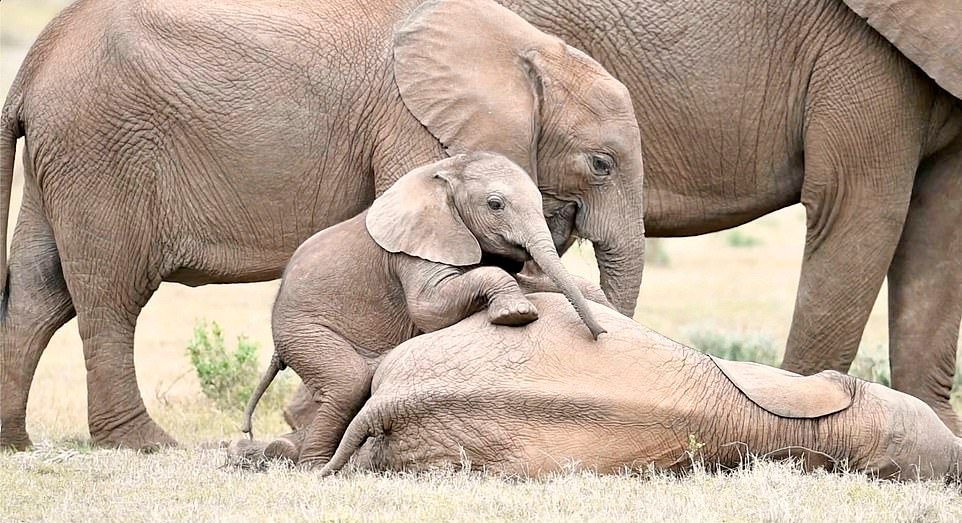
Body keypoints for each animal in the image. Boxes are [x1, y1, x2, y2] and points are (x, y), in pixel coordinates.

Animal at [237, 152, 604, 466]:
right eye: (495, 204)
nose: (599, 334)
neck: (443, 173)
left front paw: (598, 301)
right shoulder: (413, 248)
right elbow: (431, 307)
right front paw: (516, 315)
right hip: (301, 330)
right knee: (347, 383)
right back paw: (315, 466)